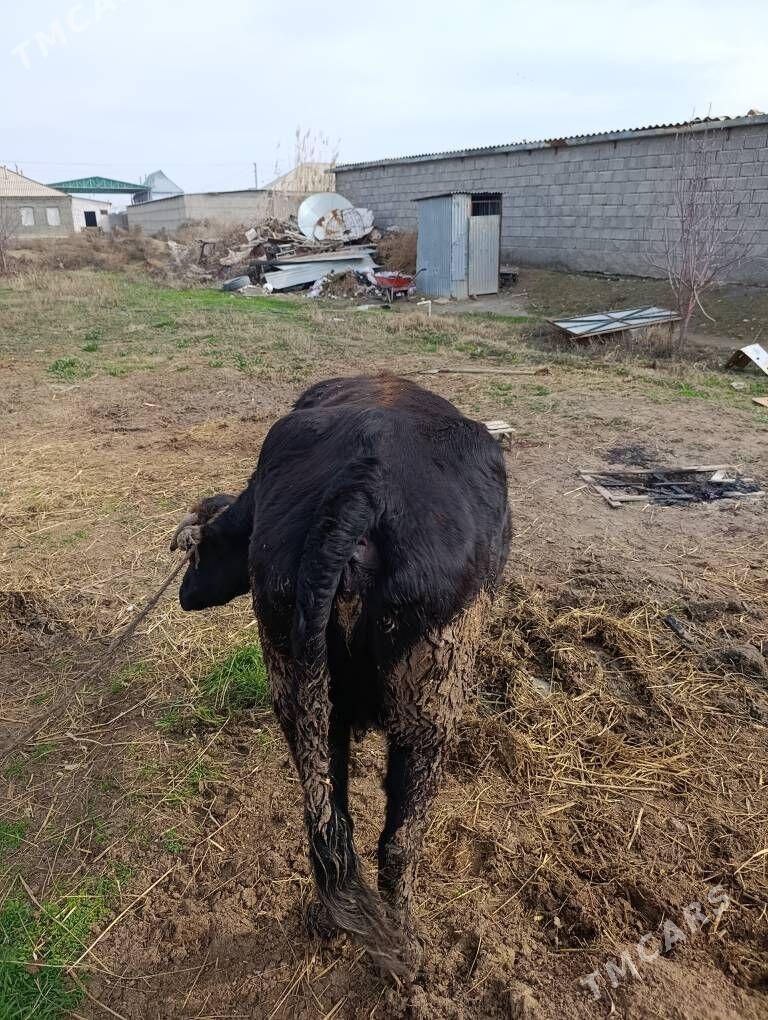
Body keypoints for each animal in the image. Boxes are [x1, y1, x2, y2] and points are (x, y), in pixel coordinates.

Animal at [171, 374, 510, 976]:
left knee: (331, 826)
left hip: (301, 688)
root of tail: (363, 486)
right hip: (432, 707)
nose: (185, 593)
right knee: (400, 841)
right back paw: (406, 951)